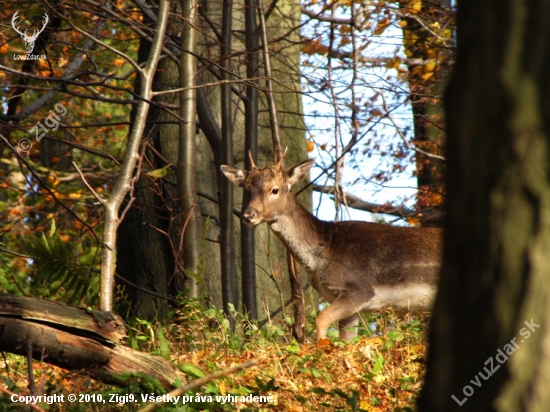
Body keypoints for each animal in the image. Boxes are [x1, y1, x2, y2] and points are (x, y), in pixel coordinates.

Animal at [222, 150, 442, 340]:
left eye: (274, 189)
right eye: (246, 189)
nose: (248, 215)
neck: (322, 255)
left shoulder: (360, 289)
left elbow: (321, 319)